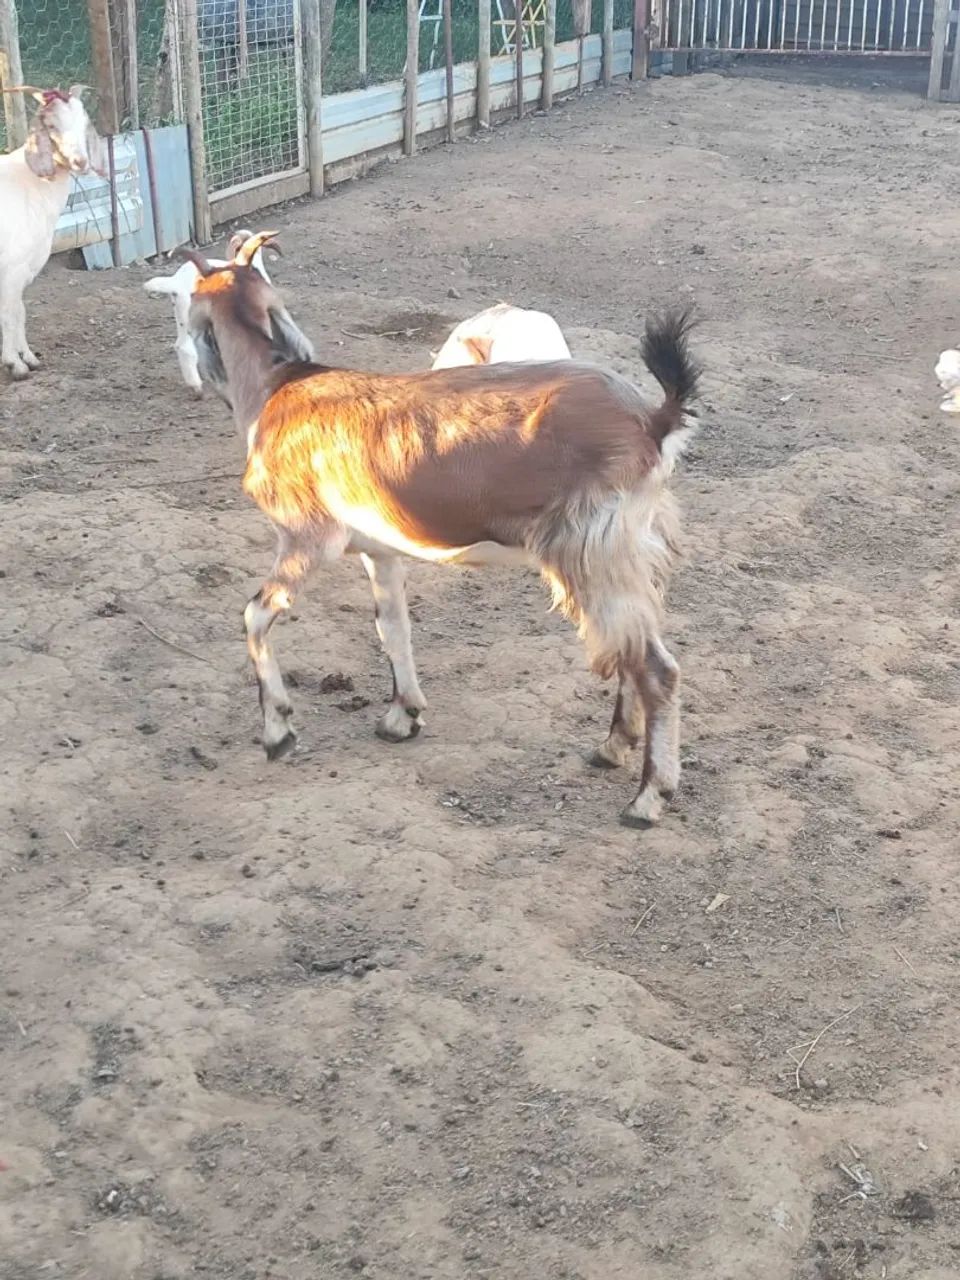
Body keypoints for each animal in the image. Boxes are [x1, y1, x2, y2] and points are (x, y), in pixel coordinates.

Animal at [0, 85, 106, 380]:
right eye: (51, 125)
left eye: (84, 122)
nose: (80, 161)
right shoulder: (11, 268)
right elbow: (9, 315)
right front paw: (15, 364)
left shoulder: (24, 269)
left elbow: (20, 312)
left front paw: (29, 357)